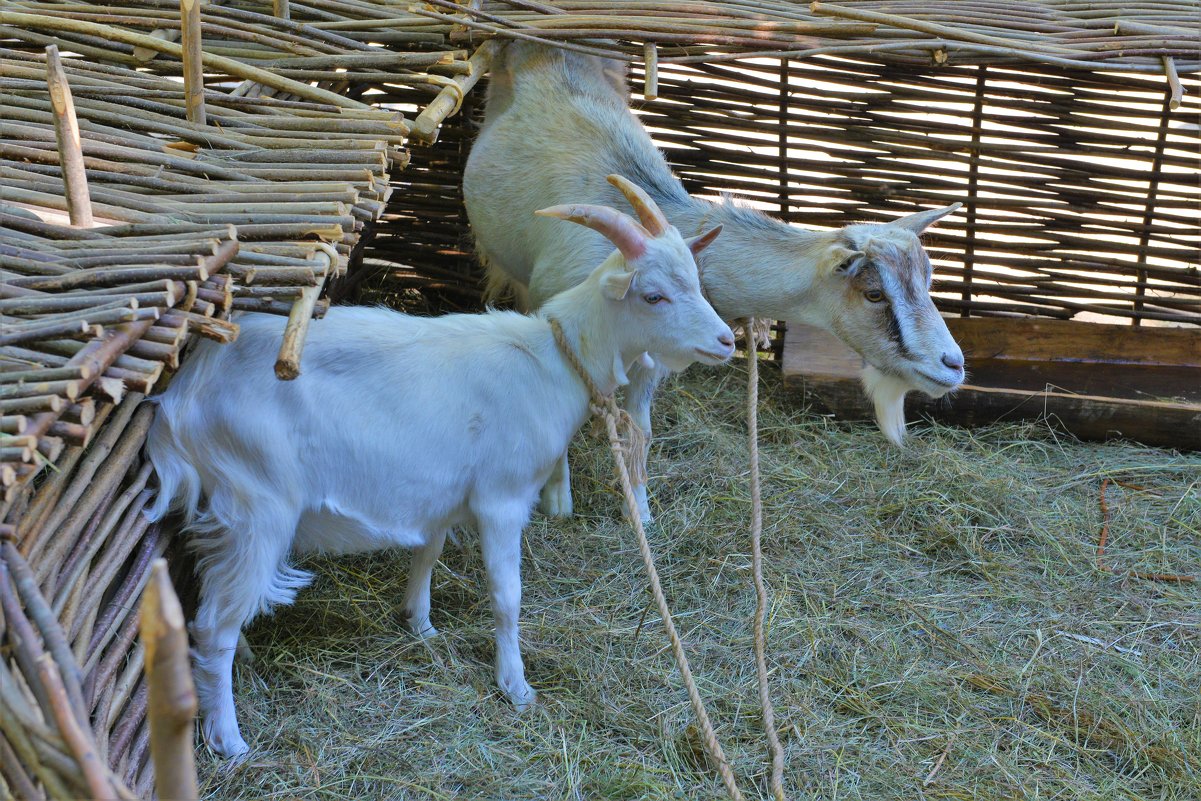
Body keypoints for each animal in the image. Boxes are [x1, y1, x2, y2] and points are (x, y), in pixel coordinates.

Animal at [146, 175, 735, 758]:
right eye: (653, 295)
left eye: (695, 279)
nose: (726, 341)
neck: (552, 360)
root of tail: (183, 395)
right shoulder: (501, 498)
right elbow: (507, 596)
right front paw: (516, 686)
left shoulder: (444, 491)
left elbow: (427, 553)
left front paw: (421, 624)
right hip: (260, 503)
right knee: (213, 626)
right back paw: (229, 738)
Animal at [461, 42, 965, 525]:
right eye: (874, 293)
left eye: (928, 280)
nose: (954, 365)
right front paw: (559, 501)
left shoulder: (649, 360)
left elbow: (641, 429)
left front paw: (640, 511)